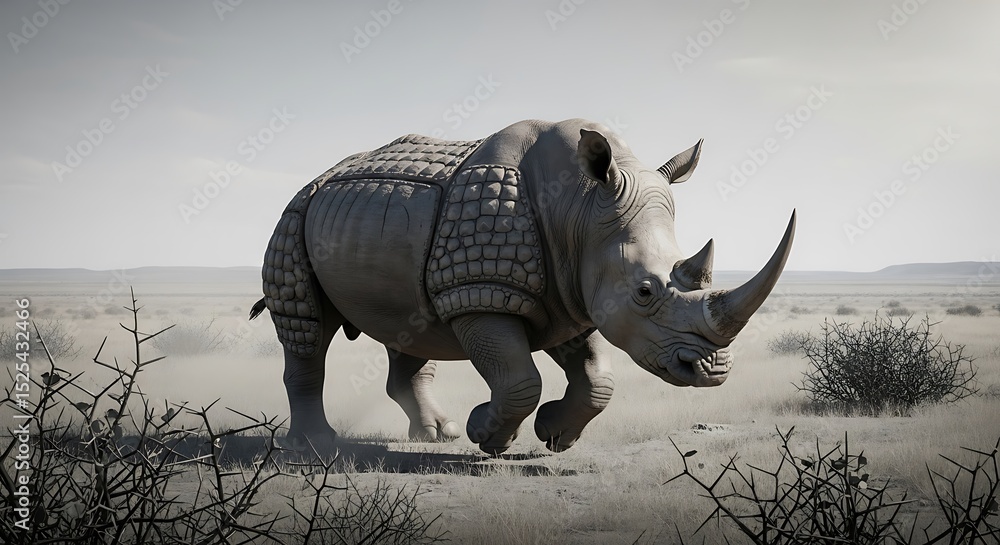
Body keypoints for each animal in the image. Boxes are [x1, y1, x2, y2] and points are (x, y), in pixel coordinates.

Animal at [250, 118, 795, 454]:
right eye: (644, 292)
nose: (712, 371)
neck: (580, 208)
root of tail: (321, 175)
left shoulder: (571, 295)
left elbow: (598, 379)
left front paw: (554, 436)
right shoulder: (481, 289)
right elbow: (518, 379)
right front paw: (488, 436)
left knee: (409, 329)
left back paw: (437, 435)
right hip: (295, 215)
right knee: (306, 327)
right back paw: (315, 446)